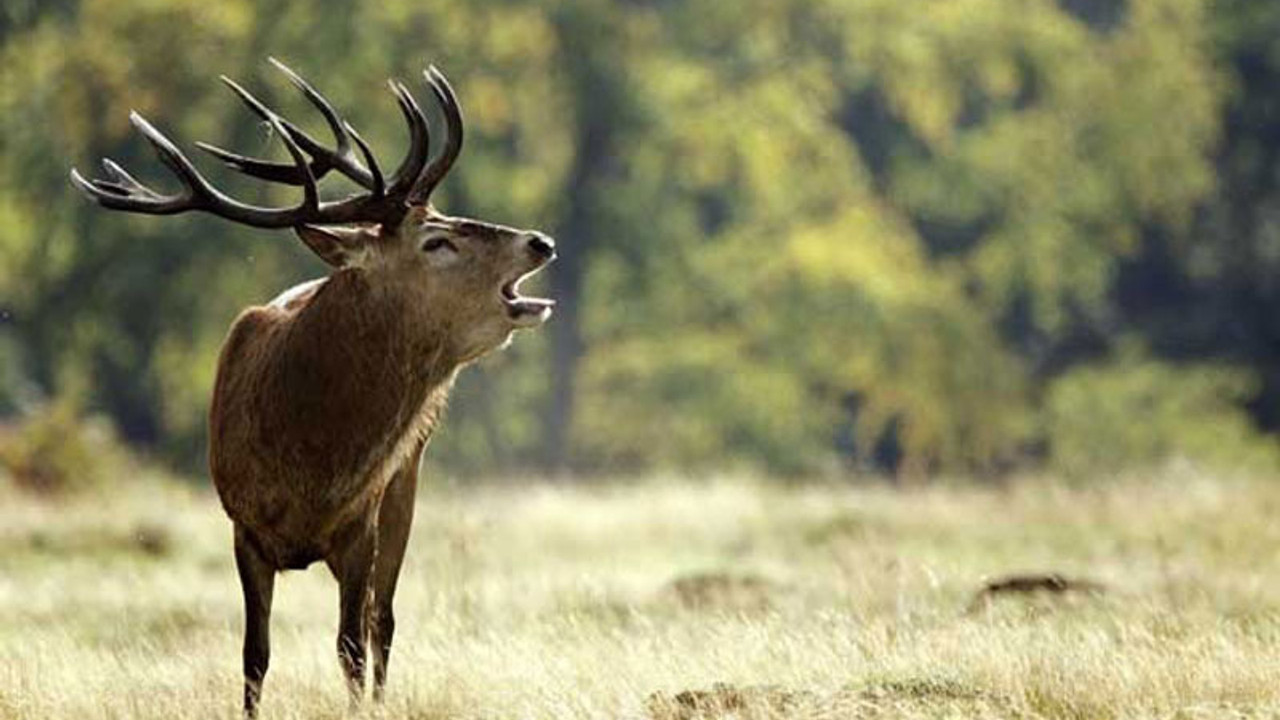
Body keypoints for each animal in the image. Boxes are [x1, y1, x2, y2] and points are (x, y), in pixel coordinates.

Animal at [70, 57, 550, 712]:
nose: (540, 242)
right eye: (437, 241)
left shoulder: (360, 523)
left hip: (407, 482)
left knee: (383, 621)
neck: (308, 458)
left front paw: (363, 710)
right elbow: (254, 655)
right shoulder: (243, 527)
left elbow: (352, 645)